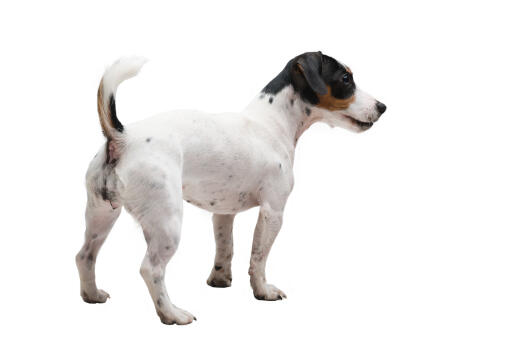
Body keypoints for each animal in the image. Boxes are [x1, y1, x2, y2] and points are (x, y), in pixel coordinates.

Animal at [75, 52, 388, 324]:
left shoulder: (224, 213)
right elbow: (258, 257)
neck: (272, 123)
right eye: (346, 79)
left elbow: (226, 248)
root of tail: (122, 138)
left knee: (84, 256)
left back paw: (92, 295)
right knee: (150, 269)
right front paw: (263, 291)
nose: (383, 107)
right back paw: (172, 314)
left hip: (101, 216)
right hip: (166, 222)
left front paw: (220, 280)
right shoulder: (273, 211)